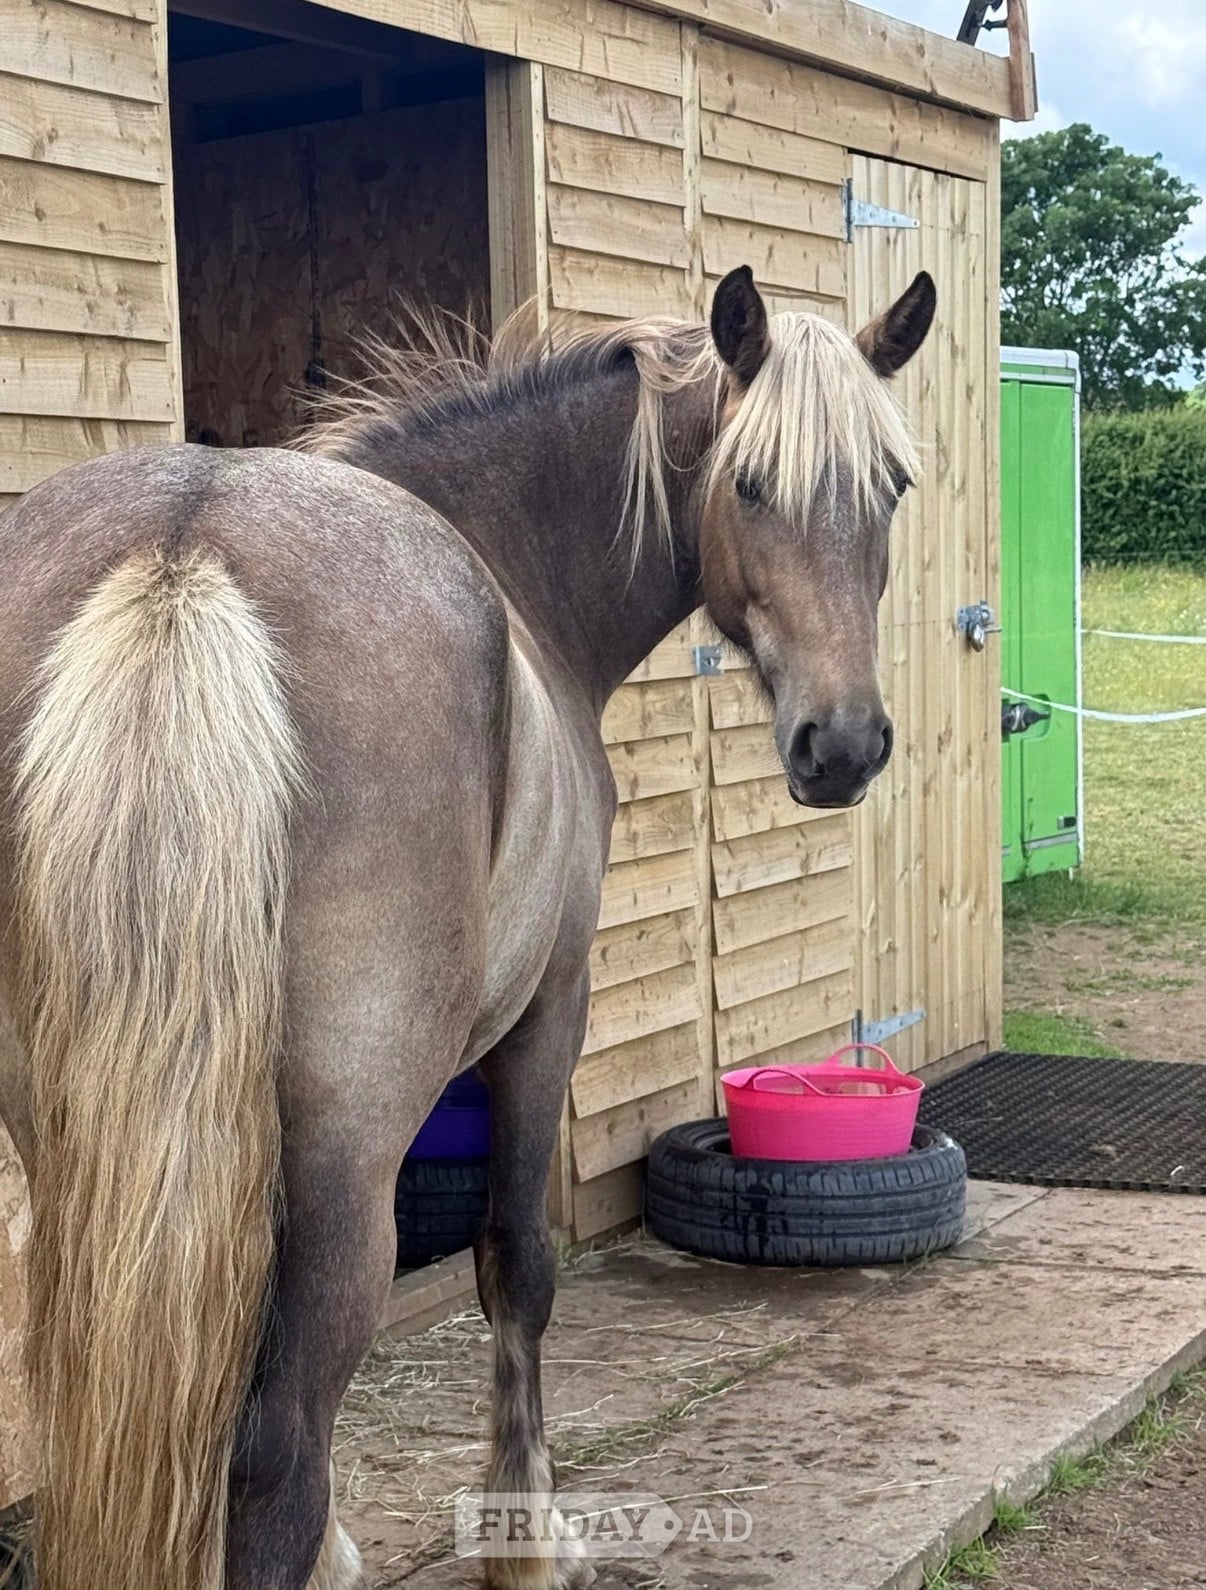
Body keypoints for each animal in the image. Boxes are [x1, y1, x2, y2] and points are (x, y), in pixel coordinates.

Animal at [0, 263, 934, 1590]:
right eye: (750, 482)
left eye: (890, 487)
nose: (843, 745)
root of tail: (184, 552)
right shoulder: (552, 1015)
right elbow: (517, 1266)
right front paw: (525, 1539)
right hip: (350, 1158)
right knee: (277, 1439)